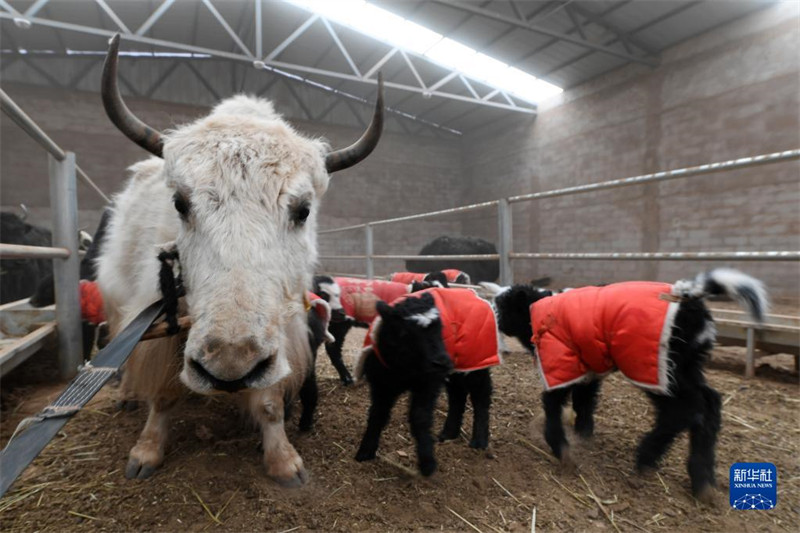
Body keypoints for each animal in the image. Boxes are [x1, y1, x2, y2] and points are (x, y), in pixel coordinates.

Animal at [482, 270, 768, 502]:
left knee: (683, 411)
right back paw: (702, 479)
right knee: (709, 404)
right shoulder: (589, 363)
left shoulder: (560, 359)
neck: (537, 310)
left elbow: (554, 402)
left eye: (502, 306)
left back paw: (647, 456)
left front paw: (562, 448)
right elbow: (584, 400)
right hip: (686, 366)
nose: (490, 315)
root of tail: (688, 296)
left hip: (655, 366)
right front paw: (583, 434)